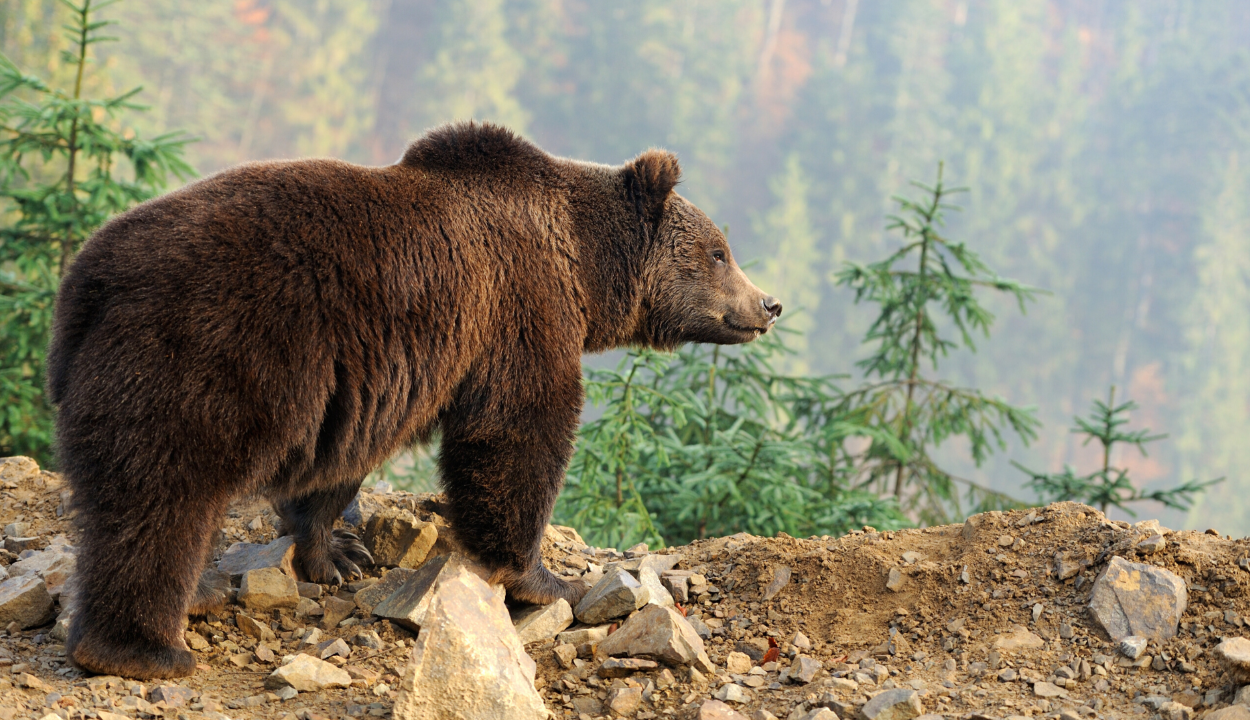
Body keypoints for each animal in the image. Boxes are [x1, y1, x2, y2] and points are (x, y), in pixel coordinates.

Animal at [46, 121, 780, 680]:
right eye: (718, 251)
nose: (768, 304)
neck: (583, 268)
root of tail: (88, 278)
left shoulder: (368, 378)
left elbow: (339, 467)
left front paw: (337, 553)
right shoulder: (515, 311)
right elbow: (518, 434)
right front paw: (545, 578)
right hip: (205, 354)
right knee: (161, 498)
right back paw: (144, 648)